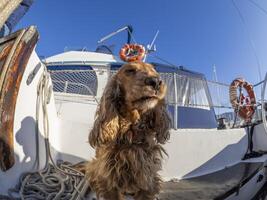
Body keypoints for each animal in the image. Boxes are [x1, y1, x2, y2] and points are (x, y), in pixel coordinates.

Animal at [87, 61, 171, 199]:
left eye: (154, 71)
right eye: (130, 70)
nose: (156, 81)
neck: (131, 132)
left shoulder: (148, 179)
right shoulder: (110, 179)